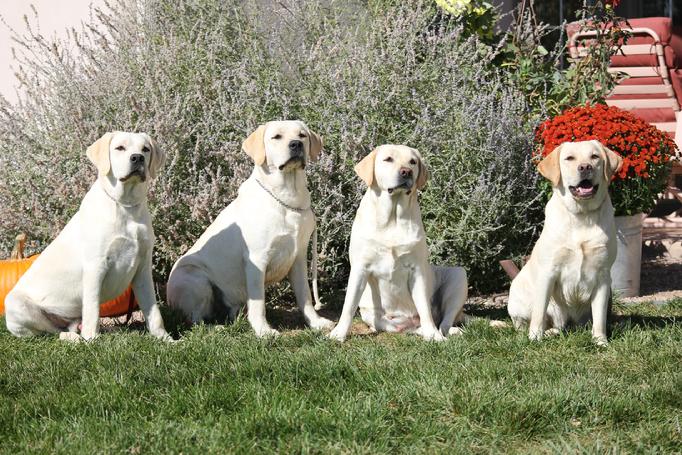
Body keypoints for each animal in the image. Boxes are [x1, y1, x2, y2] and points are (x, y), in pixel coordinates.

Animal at [5, 132, 170, 342]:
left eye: (145, 149)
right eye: (120, 148)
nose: (137, 158)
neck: (125, 205)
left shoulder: (142, 268)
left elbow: (154, 312)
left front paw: (166, 339)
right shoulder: (96, 266)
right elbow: (92, 309)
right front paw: (92, 340)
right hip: (15, 304)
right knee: (51, 333)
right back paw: (75, 338)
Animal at [167, 119, 332, 336]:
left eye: (302, 135)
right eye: (276, 137)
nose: (296, 144)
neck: (287, 197)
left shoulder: (298, 257)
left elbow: (305, 296)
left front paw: (316, 322)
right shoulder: (257, 258)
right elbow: (259, 302)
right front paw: (264, 331)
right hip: (195, 278)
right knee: (194, 319)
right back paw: (215, 328)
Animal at [328, 145, 468, 342]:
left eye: (413, 162)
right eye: (388, 159)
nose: (406, 172)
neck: (392, 218)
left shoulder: (417, 269)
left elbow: (425, 309)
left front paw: (434, 336)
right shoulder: (360, 267)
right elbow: (348, 305)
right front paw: (338, 333)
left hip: (458, 275)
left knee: (444, 320)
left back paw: (446, 331)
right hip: (373, 315)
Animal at [504, 141, 620, 348]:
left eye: (595, 156)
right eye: (570, 158)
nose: (585, 167)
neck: (582, 215)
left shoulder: (603, 275)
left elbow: (599, 317)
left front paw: (600, 341)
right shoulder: (548, 271)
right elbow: (539, 312)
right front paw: (535, 338)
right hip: (518, 293)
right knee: (530, 322)